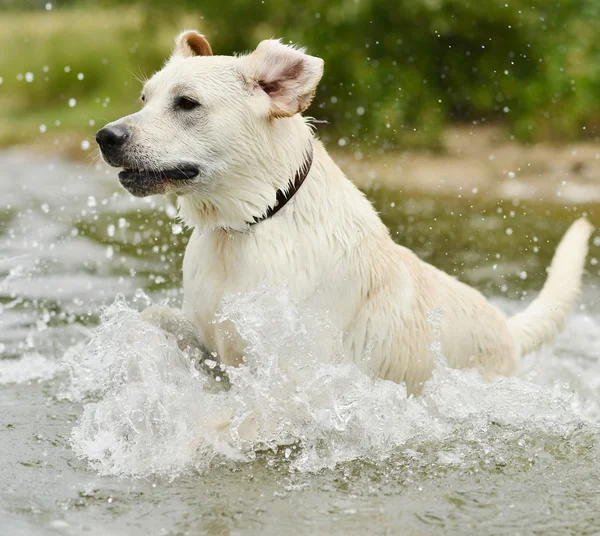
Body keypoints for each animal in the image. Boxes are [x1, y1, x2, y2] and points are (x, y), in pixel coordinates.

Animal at [96, 32, 592, 394]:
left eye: (187, 103)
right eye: (144, 99)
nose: (106, 136)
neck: (248, 225)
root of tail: (508, 331)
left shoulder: (288, 372)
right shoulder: (210, 331)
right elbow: (157, 317)